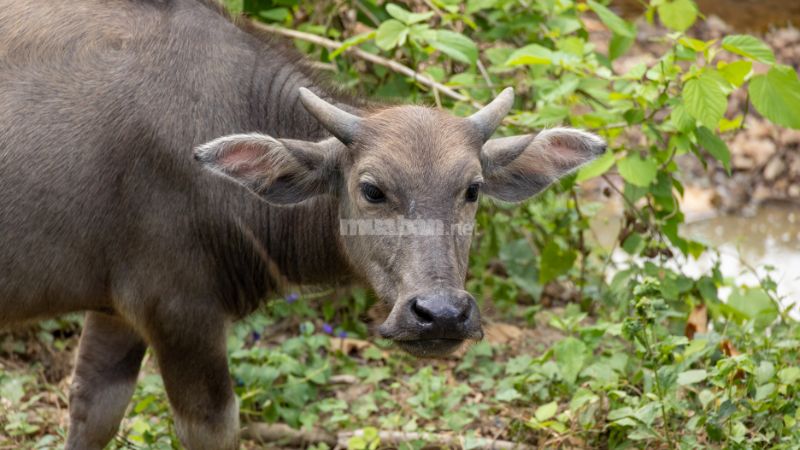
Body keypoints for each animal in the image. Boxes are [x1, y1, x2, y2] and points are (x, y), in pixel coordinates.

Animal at [0, 0, 600, 448]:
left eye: (472, 189)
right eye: (371, 189)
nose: (441, 315)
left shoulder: (116, 311)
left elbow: (92, 411)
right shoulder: (177, 310)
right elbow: (214, 427)